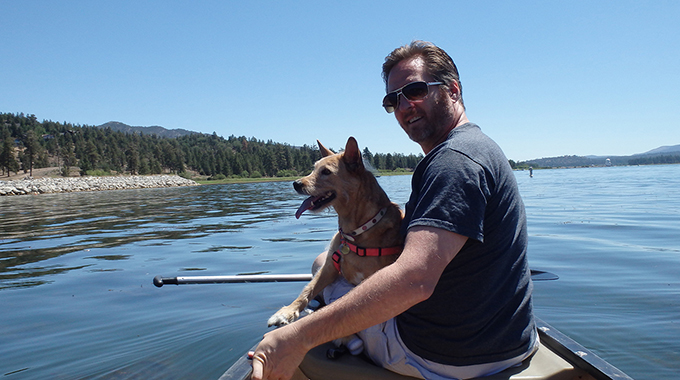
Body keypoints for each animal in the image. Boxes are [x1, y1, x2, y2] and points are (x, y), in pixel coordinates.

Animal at [266, 136, 404, 330]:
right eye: (313, 168)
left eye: (326, 172)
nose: (295, 184)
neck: (355, 231)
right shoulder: (329, 267)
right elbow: (308, 290)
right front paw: (286, 312)